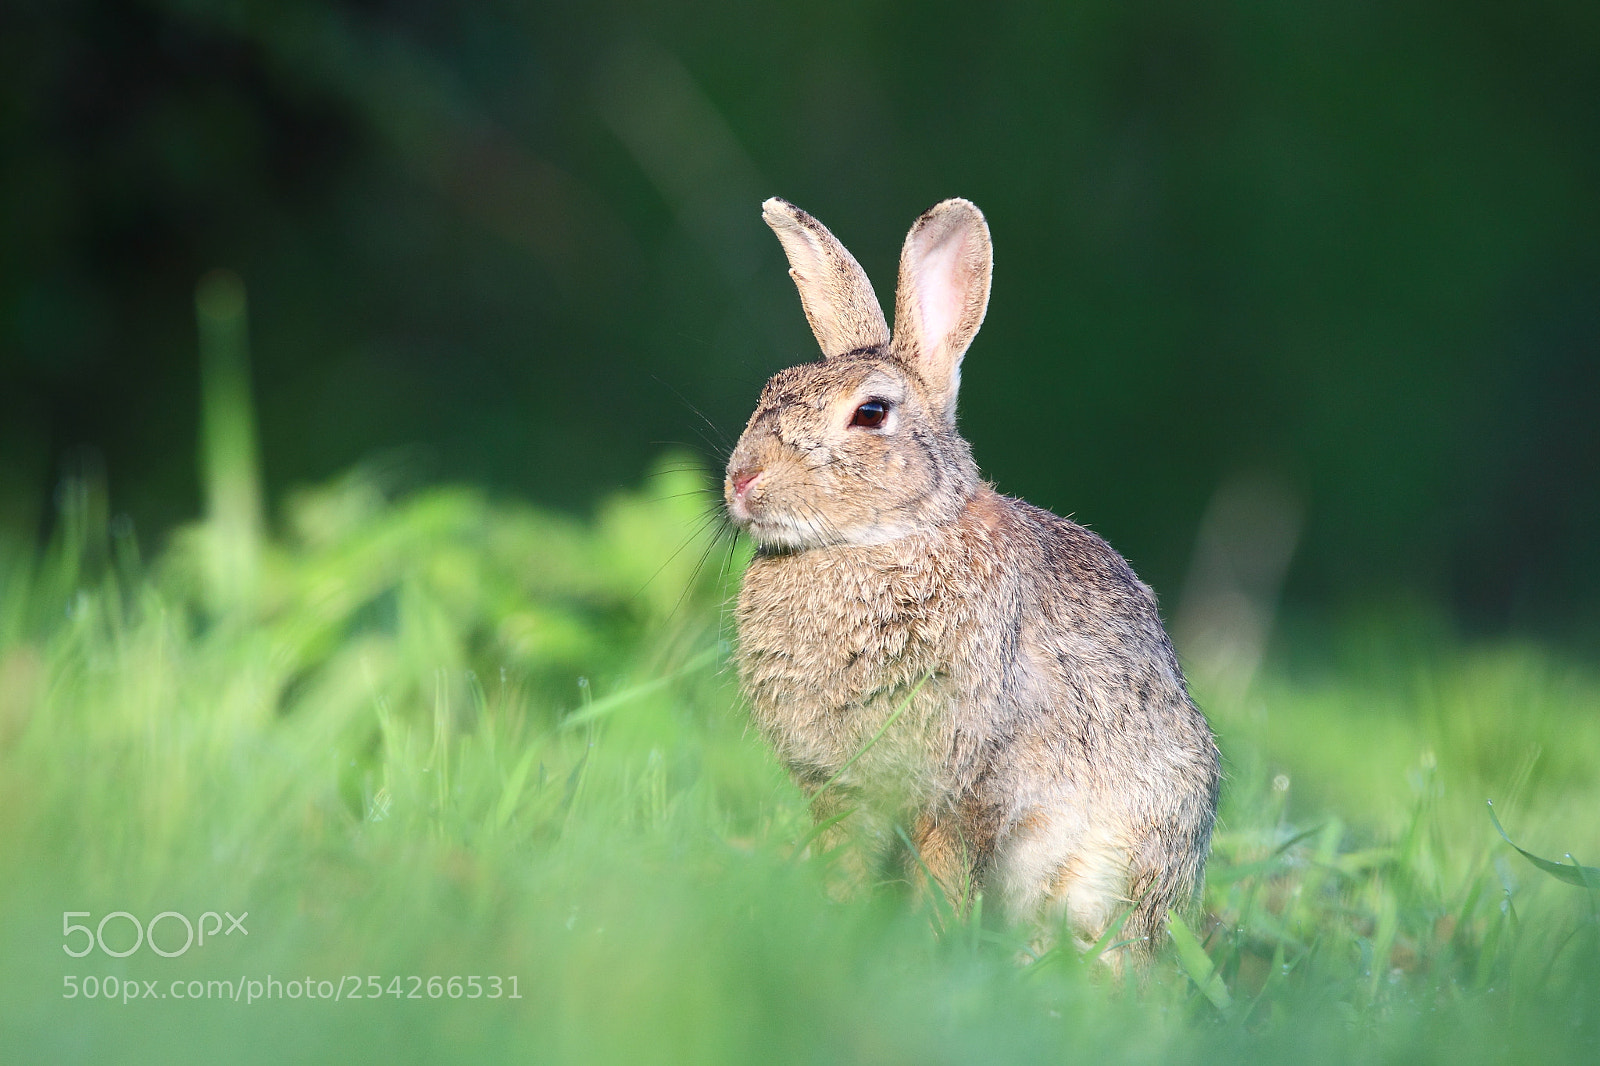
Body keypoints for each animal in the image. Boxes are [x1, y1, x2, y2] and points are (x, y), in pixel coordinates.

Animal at [724, 197, 1220, 959]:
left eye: (871, 413)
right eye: (770, 389)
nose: (741, 479)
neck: (879, 540)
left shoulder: (966, 787)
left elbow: (945, 876)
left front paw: (930, 953)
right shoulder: (841, 790)